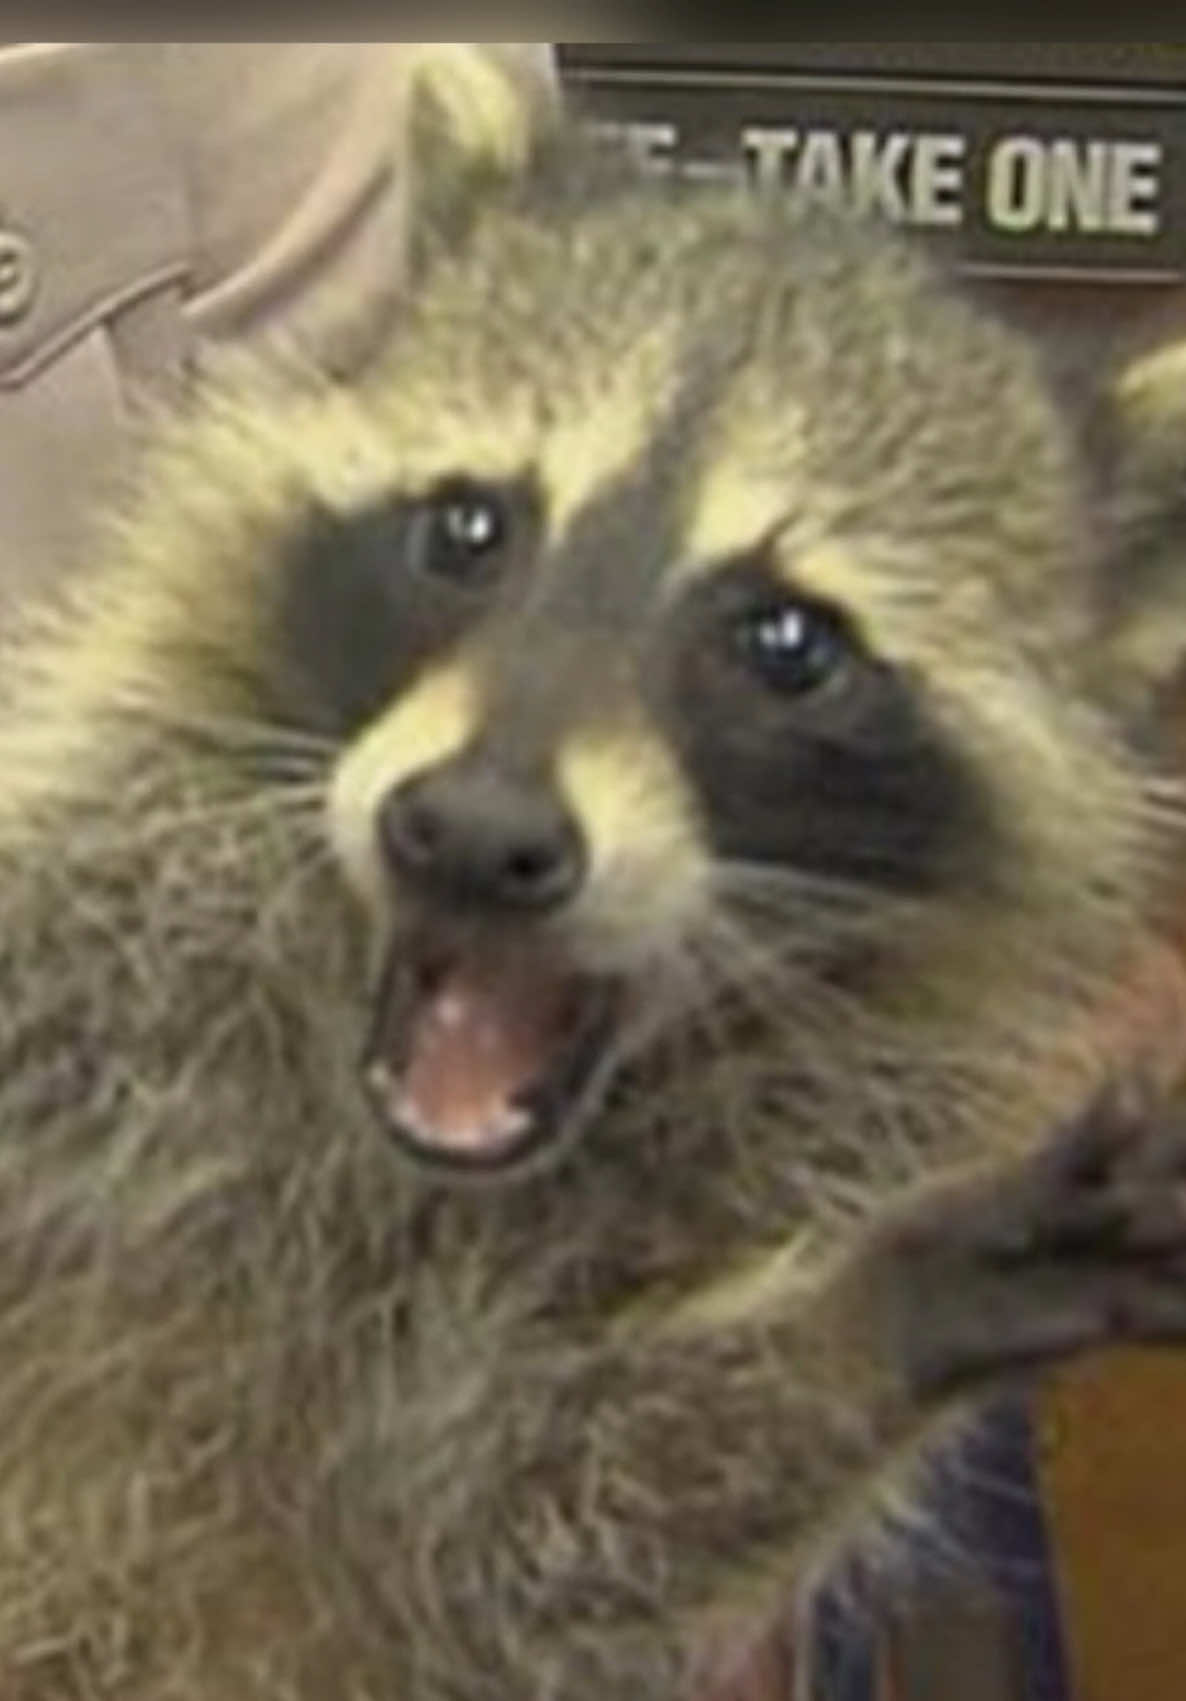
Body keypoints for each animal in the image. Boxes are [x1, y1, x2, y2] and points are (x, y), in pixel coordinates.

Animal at [2, 45, 1186, 1701]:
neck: (390, 1159)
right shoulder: (96, 906)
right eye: (469, 526)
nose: (468, 831)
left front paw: (870, 1304)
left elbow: (523, 1521)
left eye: (784, 639)